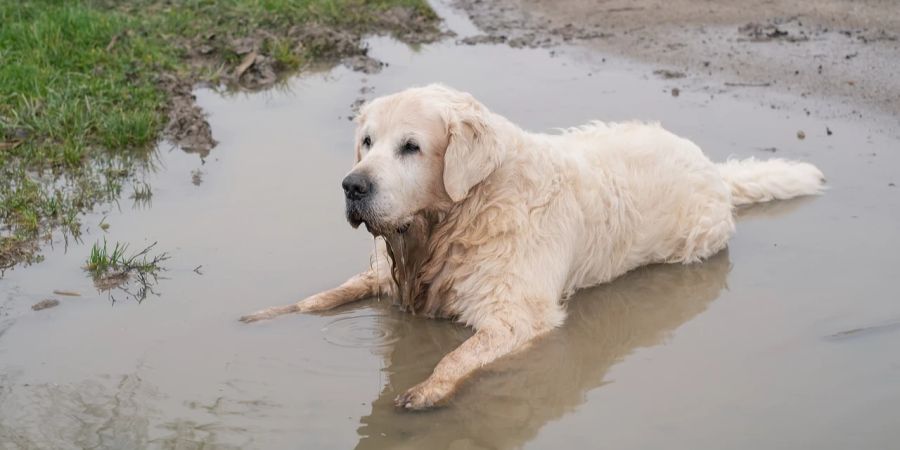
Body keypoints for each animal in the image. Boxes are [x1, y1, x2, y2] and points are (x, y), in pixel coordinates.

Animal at [237, 82, 824, 410]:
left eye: (411, 147)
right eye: (366, 141)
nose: (352, 186)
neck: (456, 218)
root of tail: (713, 168)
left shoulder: (516, 313)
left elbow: (458, 355)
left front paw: (427, 389)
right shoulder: (386, 274)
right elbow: (322, 297)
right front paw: (269, 315)